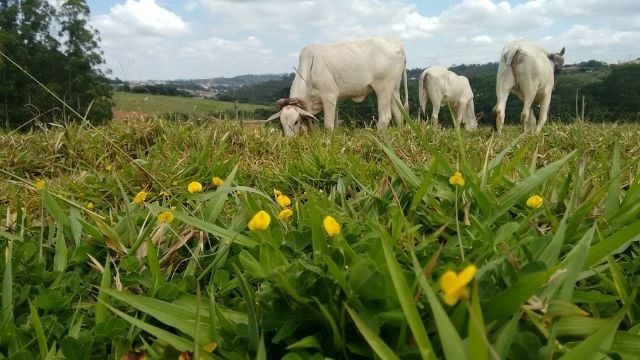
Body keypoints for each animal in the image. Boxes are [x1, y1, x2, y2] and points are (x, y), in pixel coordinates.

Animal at [266, 37, 408, 136]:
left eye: (296, 122)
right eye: (281, 123)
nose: (289, 140)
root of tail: (397, 44)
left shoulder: (329, 96)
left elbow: (328, 125)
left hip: (383, 88)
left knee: (385, 116)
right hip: (394, 89)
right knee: (399, 112)